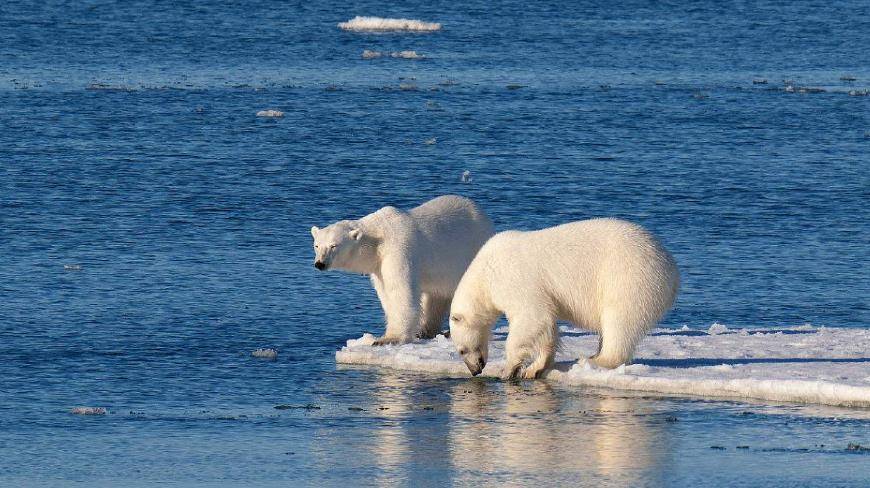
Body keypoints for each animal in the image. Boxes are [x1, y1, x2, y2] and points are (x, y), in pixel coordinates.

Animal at [314, 196, 494, 346]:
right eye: (316, 245)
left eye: (333, 245)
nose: (319, 263)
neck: (378, 236)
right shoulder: (378, 265)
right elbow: (386, 293)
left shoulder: (398, 250)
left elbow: (399, 291)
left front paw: (388, 338)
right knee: (437, 296)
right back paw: (426, 331)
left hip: (474, 249)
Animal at [450, 219, 680, 380]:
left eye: (461, 350)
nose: (475, 370)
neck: (485, 273)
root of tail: (672, 271)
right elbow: (546, 327)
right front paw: (535, 368)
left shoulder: (516, 281)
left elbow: (531, 318)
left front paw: (508, 370)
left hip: (628, 279)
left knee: (619, 321)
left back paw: (596, 359)